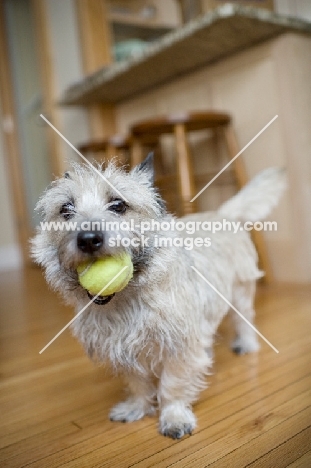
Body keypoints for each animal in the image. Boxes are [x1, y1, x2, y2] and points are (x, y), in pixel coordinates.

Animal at [31, 154, 286, 438]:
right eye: (66, 210)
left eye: (118, 205)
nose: (87, 239)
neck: (127, 301)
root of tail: (222, 214)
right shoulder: (123, 349)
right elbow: (138, 383)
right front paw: (137, 407)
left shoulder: (179, 346)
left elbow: (172, 385)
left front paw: (174, 417)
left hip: (240, 293)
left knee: (245, 320)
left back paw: (246, 344)